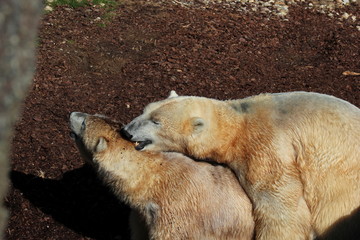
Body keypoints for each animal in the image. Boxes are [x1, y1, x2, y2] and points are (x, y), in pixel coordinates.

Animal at [67, 111, 253, 239]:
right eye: (93, 114)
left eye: (83, 124)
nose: (72, 113)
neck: (152, 178)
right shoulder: (141, 215)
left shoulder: (175, 216)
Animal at [122, 91, 360, 240]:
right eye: (144, 110)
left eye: (156, 121)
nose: (126, 131)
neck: (238, 125)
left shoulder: (265, 145)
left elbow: (280, 205)